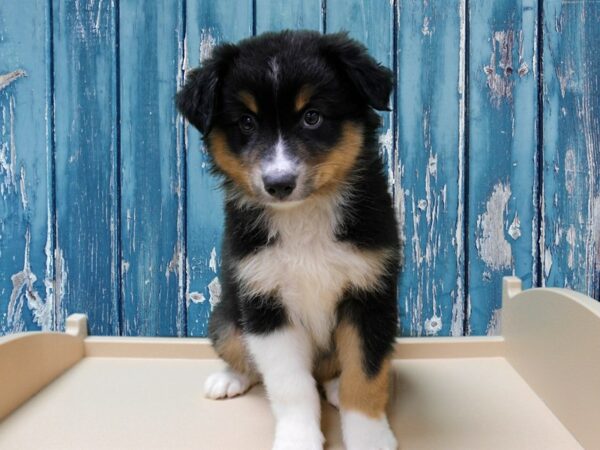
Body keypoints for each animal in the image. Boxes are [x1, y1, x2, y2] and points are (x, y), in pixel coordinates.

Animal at [178, 29, 404, 448]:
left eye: (312, 117)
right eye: (246, 122)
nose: (279, 183)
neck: (303, 216)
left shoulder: (369, 295)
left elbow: (366, 376)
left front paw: (369, 436)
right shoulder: (264, 301)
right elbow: (290, 386)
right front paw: (299, 437)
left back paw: (335, 386)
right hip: (226, 318)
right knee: (241, 353)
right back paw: (229, 379)